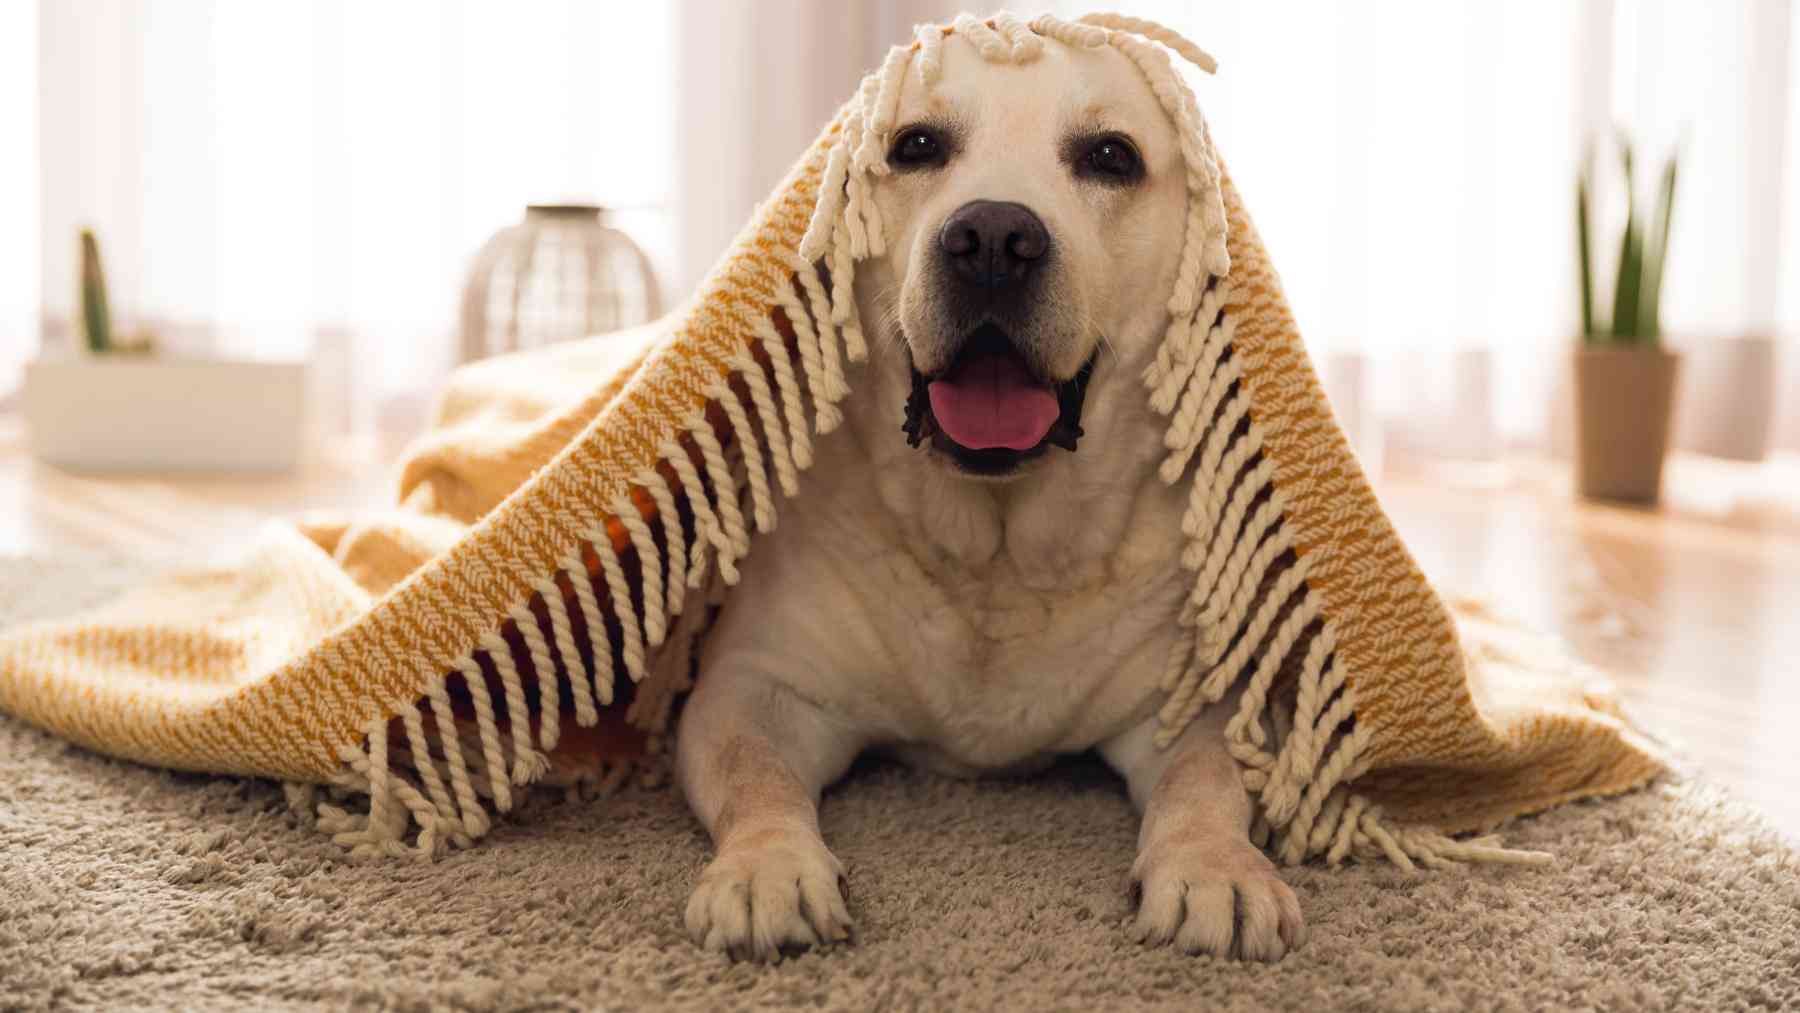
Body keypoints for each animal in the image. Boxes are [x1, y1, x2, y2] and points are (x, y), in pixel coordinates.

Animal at [669, 31, 1303, 964]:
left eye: (1110, 157)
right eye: (915, 146)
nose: (995, 239)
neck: (995, 553)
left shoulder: (1197, 703)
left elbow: (1207, 779)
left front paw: (1215, 868)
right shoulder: (755, 686)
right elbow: (758, 775)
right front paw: (767, 868)